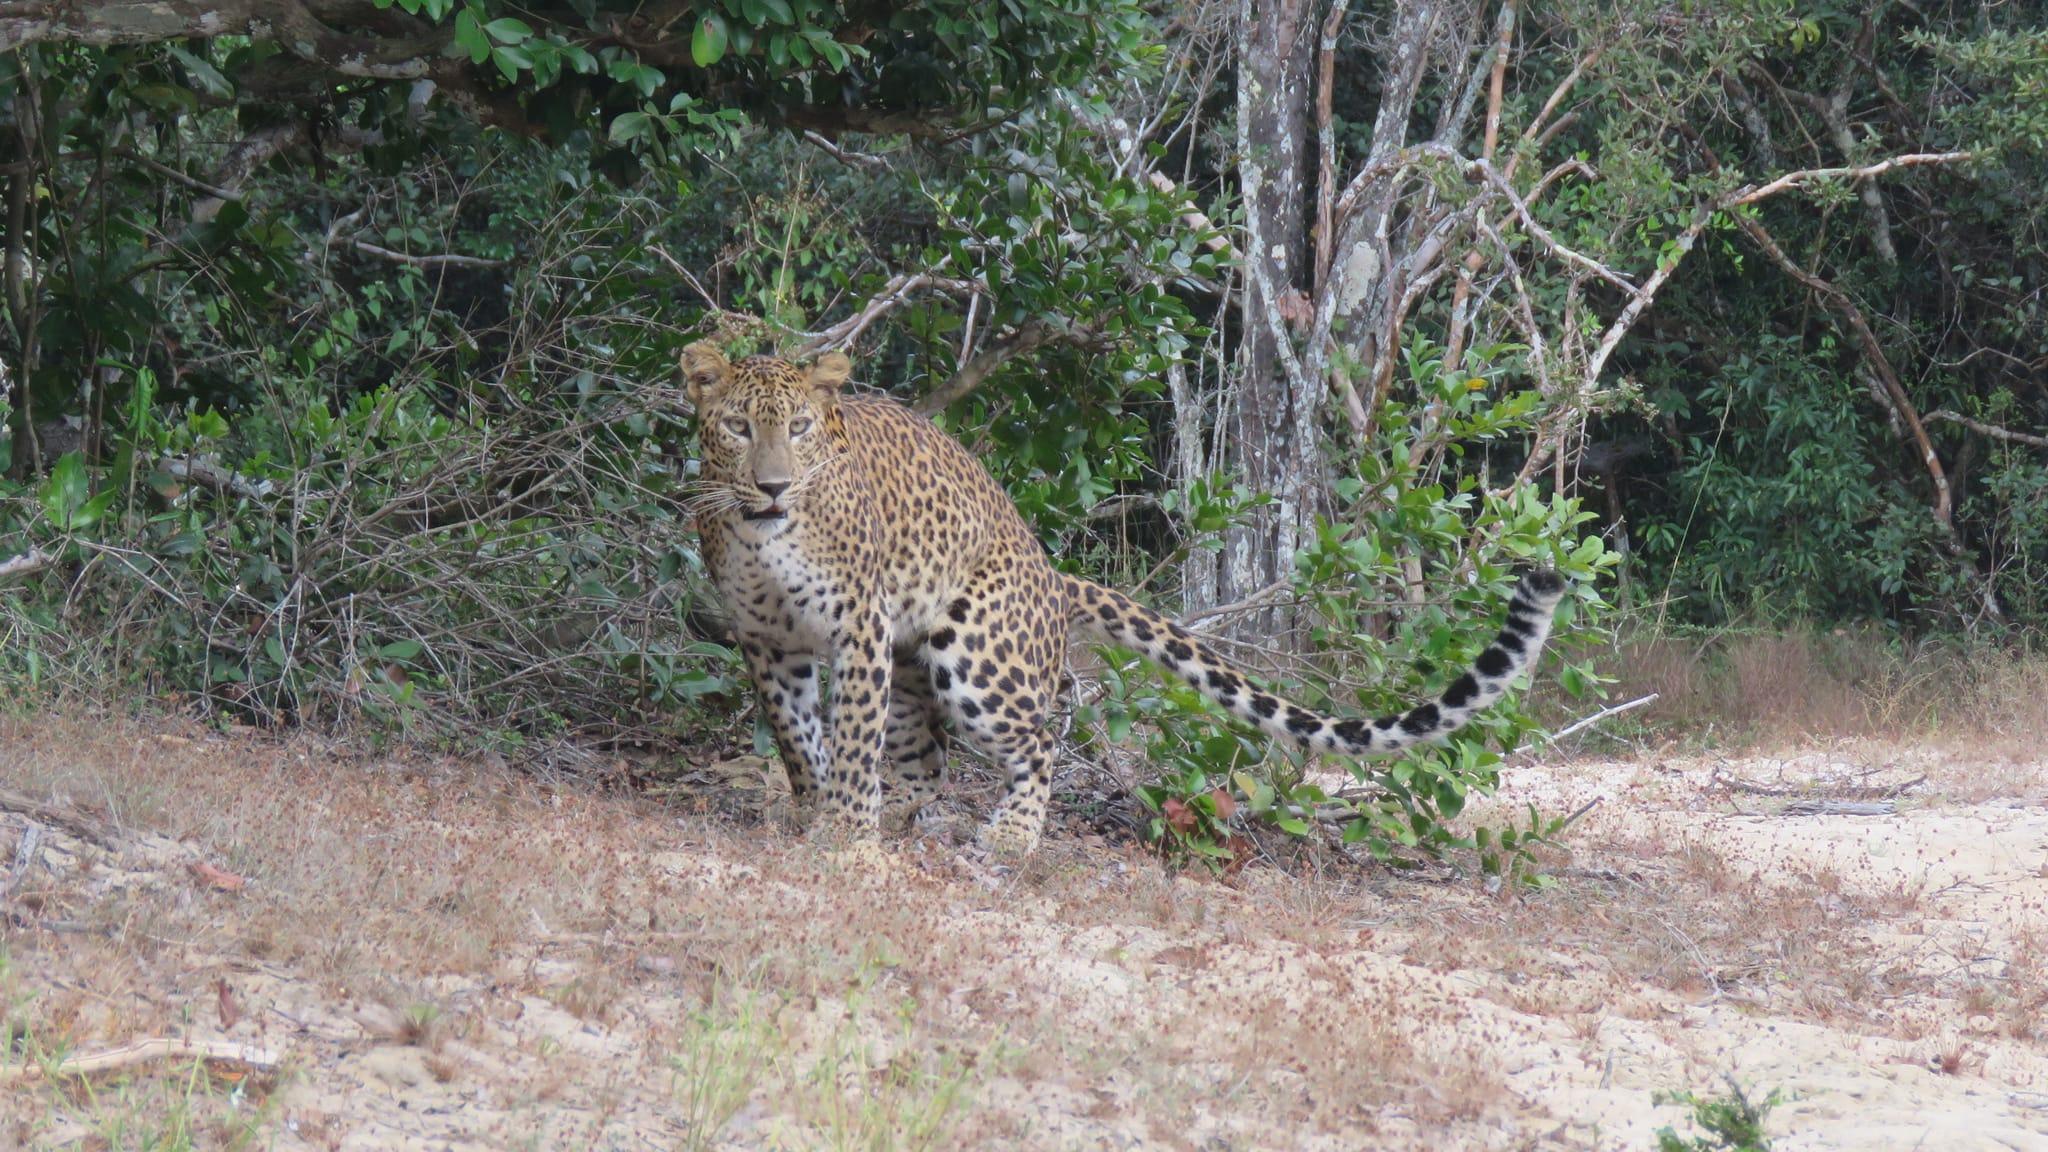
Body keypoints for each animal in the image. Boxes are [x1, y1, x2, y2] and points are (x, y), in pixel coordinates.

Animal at [682, 341, 1569, 857]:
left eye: (800, 427)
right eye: (737, 427)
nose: (772, 487)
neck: (767, 536)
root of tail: (1049, 570)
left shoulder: (858, 629)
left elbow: (849, 738)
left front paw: (844, 838)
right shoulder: (767, 641)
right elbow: (798, 739)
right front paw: (815, 816)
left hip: (973, 658)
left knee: (1037, 740)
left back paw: (1007, 842)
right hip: (913, 668)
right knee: (924, 762)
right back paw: (906, 819)